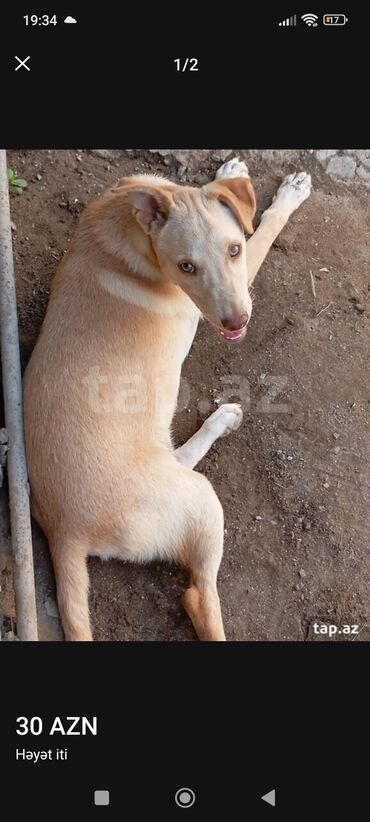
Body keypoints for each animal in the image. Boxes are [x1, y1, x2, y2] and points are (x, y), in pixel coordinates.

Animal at [23, 156, 310, 644]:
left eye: (233, 249)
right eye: (186, 267)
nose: (236, 323)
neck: (133, 224)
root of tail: (65, 531)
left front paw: (228, 171)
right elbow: (267, 227)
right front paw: (289, 196)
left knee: (180, 457)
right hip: (199, 500)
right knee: (197, 597)